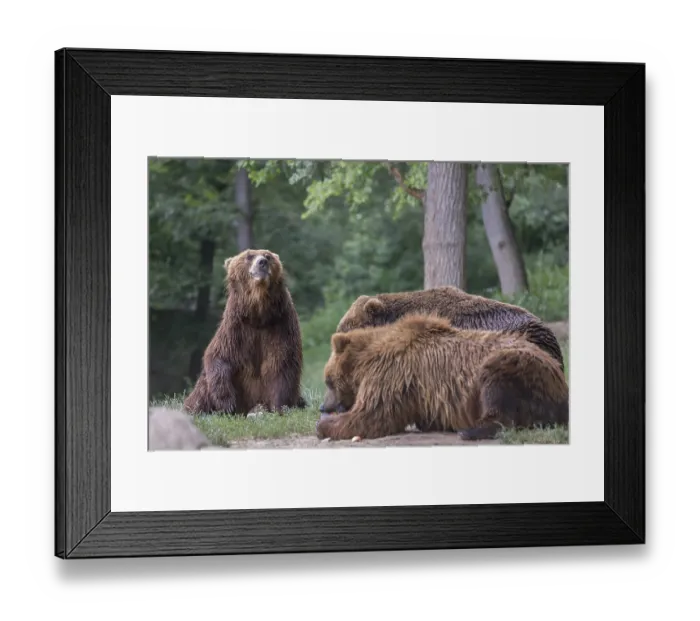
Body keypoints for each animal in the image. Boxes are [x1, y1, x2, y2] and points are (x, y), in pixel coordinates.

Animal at [183, 249, 305, 416]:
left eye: (268, 256)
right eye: (249, 256)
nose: (262, 262)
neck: (258, 315)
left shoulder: (281, 325)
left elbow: (282, 364)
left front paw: (280, 406)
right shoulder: (236, 328)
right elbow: (219, 356)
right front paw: (228, 404)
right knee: (201, 391)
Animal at [316, 313, 569, 442]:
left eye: (328, 380)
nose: (322, 406)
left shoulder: (393, 372)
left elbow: (373, 415)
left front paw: (324, 425)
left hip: (520, 367)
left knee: (496, 386)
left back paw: (472, 430)